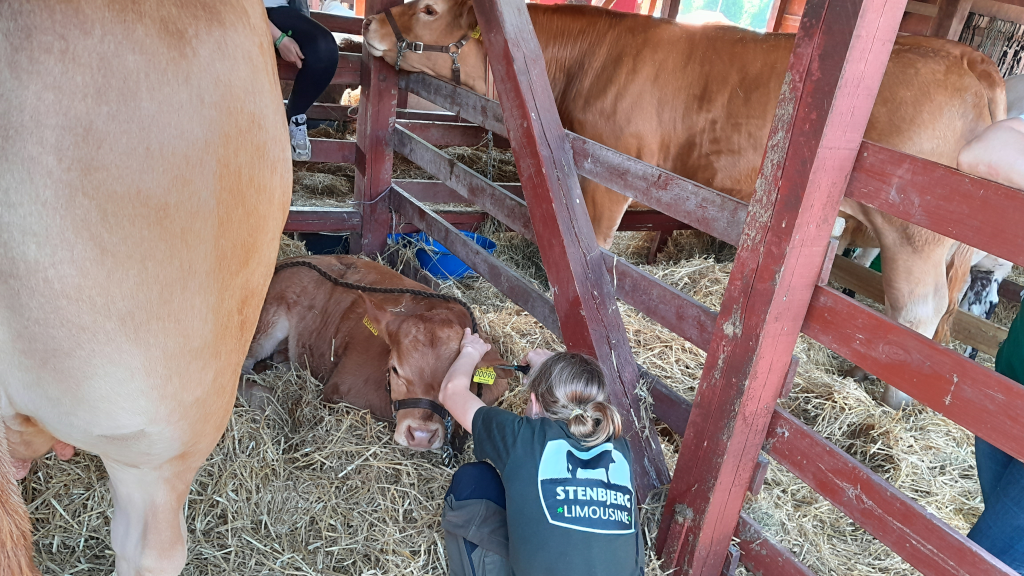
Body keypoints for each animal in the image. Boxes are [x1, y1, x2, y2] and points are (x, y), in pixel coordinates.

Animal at [242, 255, 510, 450]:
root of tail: (292, 258)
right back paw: (262, 398)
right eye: (395, 369)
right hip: (265, 326)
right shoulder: (338, 390)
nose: (421, 436)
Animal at [363, 1, 1006, 409]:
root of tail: (968, 57)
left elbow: (594, 248)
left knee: (918, 313)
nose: (368, 23)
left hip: (912, 233)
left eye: (428, 10)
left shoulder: (613, 177)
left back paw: (895, 398)